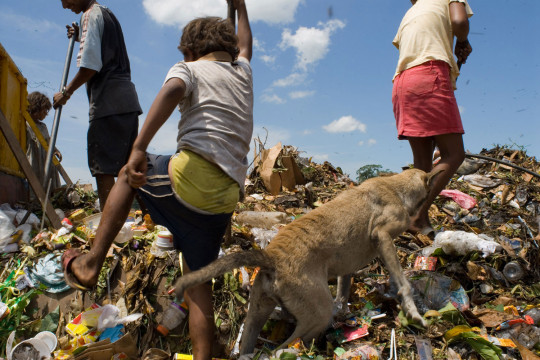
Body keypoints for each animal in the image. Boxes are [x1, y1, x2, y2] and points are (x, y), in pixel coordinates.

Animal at [175, 169, 436, 354]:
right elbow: (402, 281)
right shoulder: (382, 236)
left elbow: (343, 289)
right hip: (315, 315)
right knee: (276, 352)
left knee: (249, 345)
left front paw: (344, 313)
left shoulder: (347, 267)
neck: (396, 186)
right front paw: (413, 312)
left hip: (257, 312)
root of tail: (272, 257)